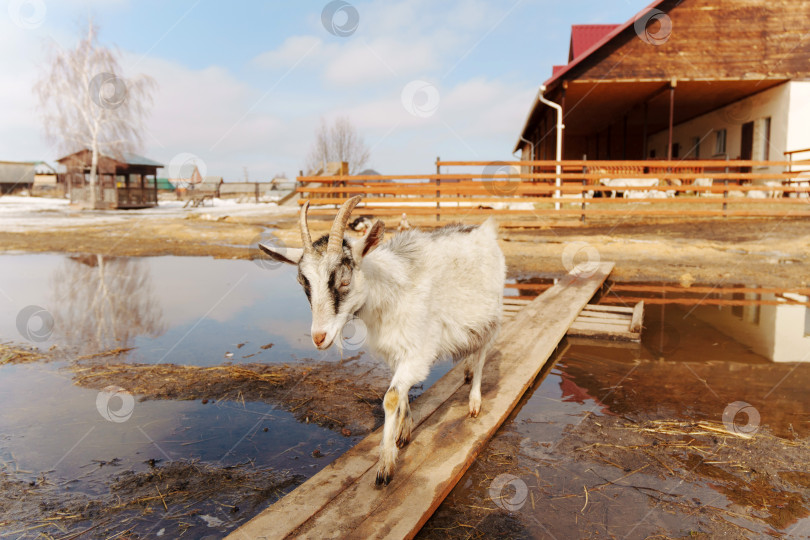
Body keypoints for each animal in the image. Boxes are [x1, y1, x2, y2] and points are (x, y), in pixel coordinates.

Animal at [259, 196, 505, 485]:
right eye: (303, 283)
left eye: (344, 280)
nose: (319, 337)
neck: (389, 291)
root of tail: (484, 230)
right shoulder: (394, 351)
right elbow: (401, 393)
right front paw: (404, 430)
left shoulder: (418, 352)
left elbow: (391, 397)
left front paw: (385, 465)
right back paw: (466, 371)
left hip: (491, 315)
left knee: (482, 354)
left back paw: (474, 402)